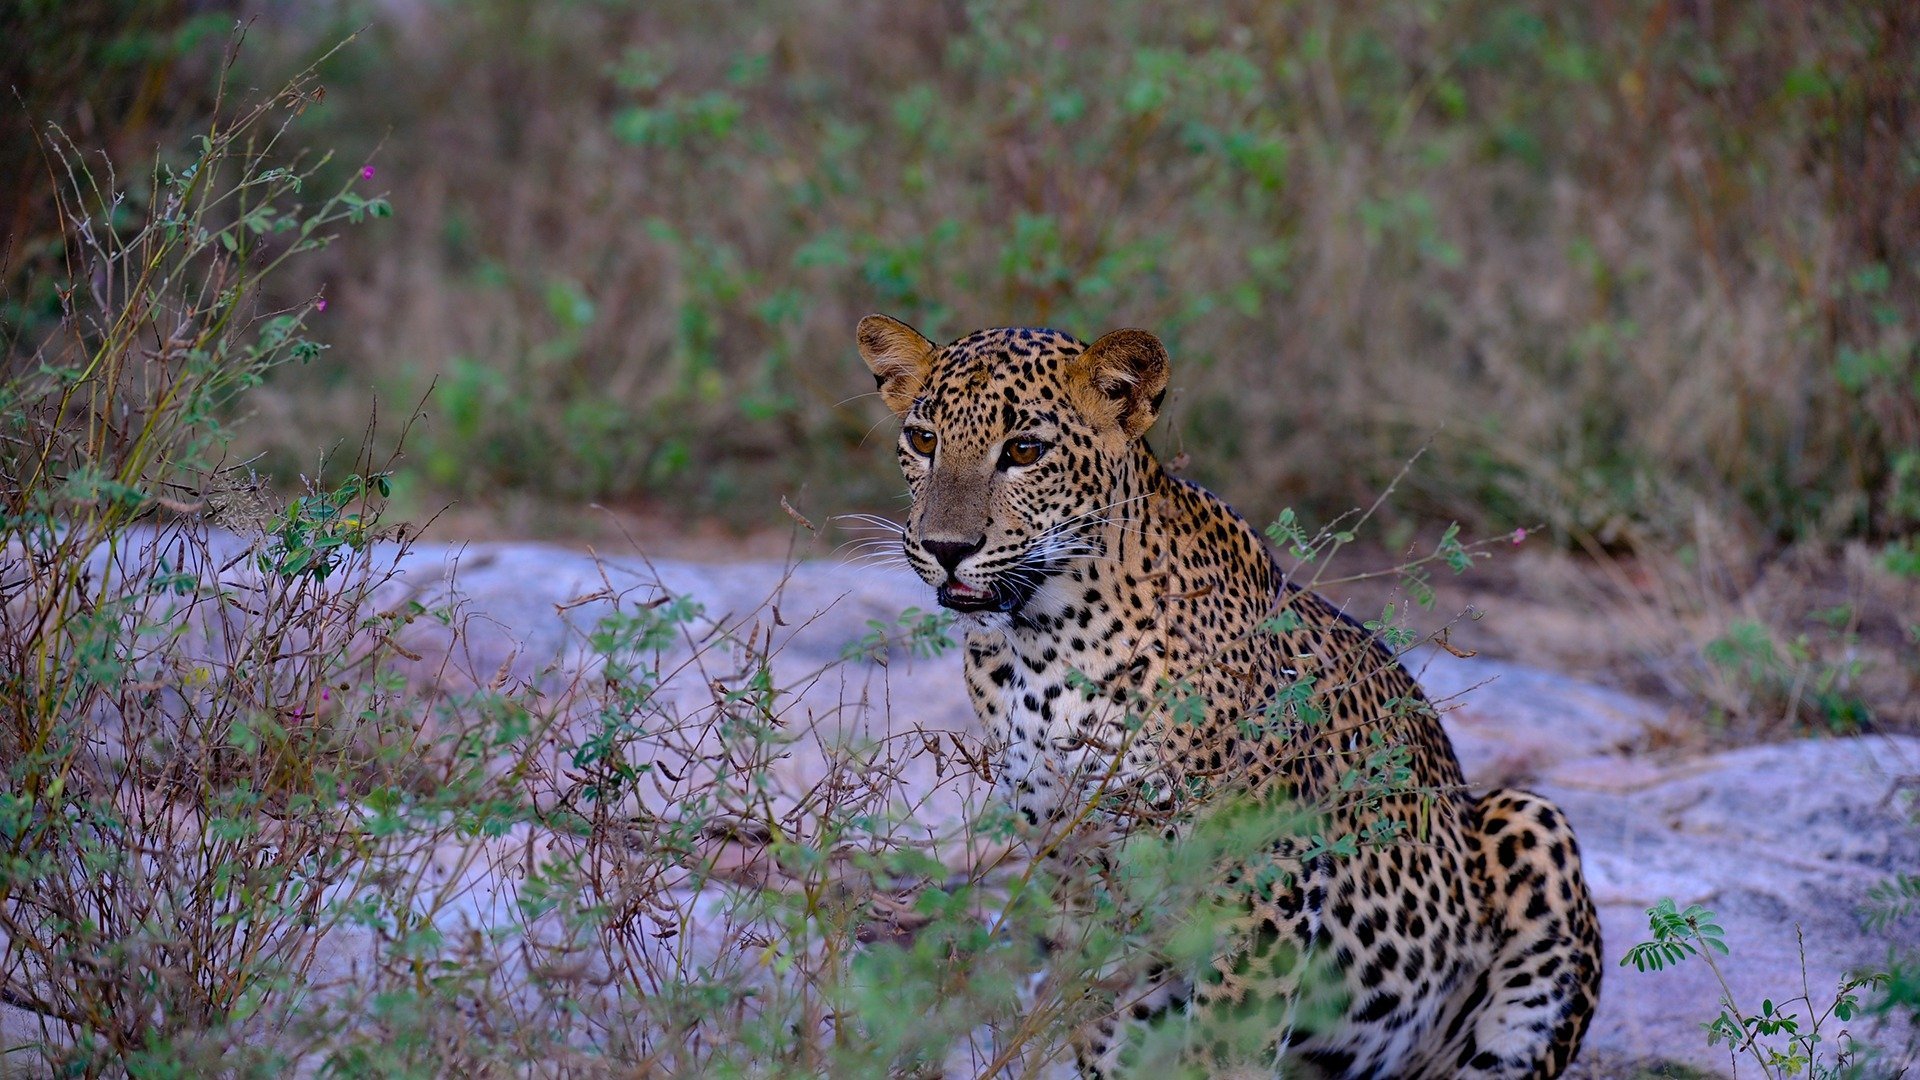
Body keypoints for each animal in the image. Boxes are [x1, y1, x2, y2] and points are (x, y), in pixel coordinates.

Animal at [856, 314, 1601, 1078]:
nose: (945, 548)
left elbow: (1227, 1036)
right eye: (923, 440)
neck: (1041, 644)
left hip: (1532, 826)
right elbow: (1104, 1015)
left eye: (1024, 451)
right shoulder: (1073, 861)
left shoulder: (1258, 866)